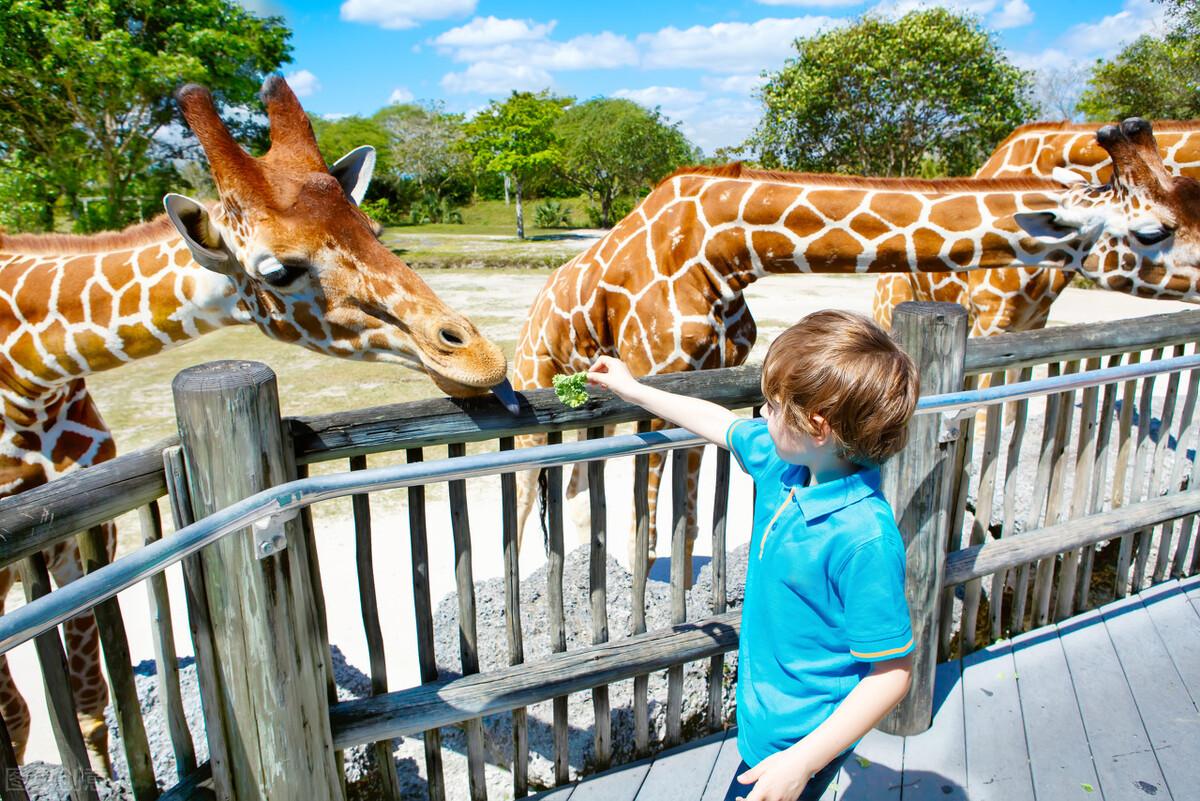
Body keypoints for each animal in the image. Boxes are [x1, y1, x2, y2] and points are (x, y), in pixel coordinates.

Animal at [0, 74, 511, 767]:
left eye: (373, 227)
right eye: (279, 270)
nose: (481, 359)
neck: (31, 372)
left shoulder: (80, 532)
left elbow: (85, 701)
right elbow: (24, 713)